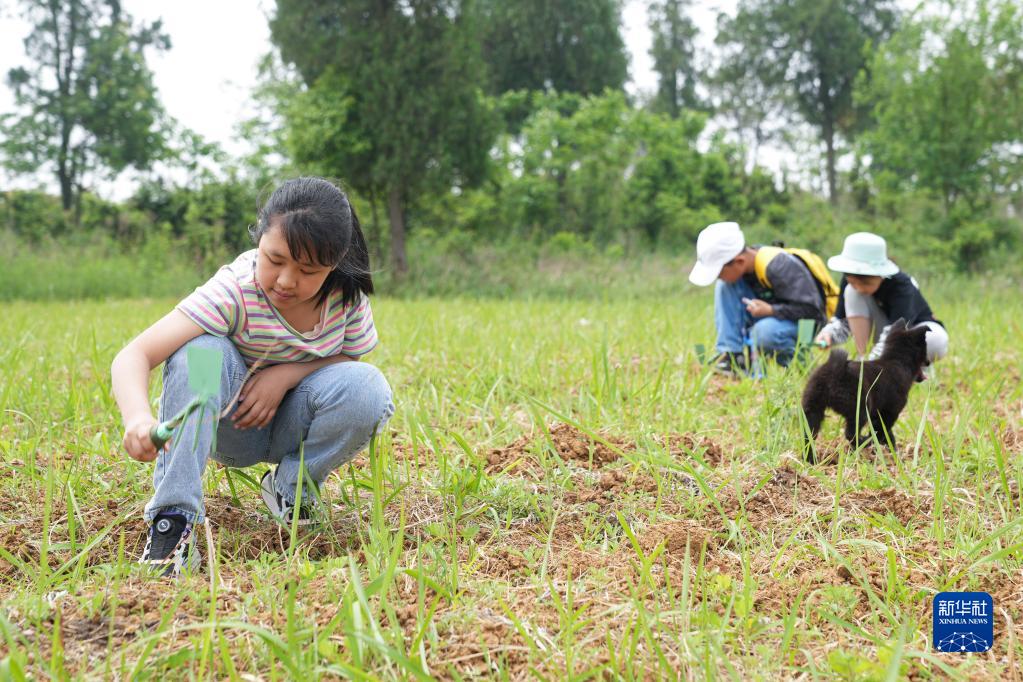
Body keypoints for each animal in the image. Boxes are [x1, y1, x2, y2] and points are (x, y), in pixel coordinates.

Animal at [802, 321, 932, 464]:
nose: (929, 361)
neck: (896, 361)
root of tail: (835, 369)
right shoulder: (888, 414)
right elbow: (882, 432)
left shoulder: (878, 415)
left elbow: (887, 435)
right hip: (860, 410)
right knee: (851, 434)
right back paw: (865, 442)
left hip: (812, 410)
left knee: (809, 437)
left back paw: (811, 460)